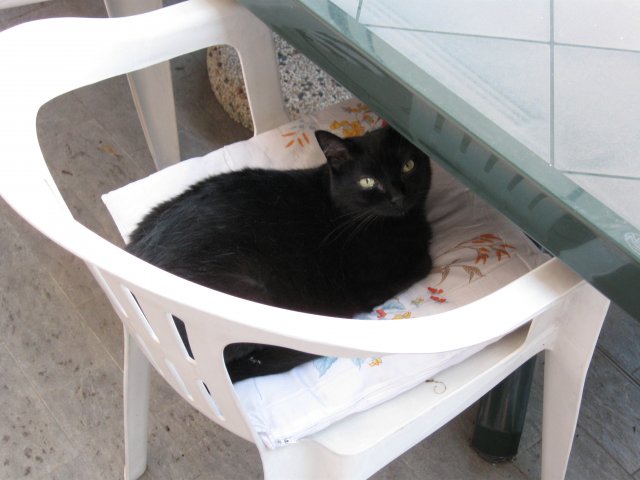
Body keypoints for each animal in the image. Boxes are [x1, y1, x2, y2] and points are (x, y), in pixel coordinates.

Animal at [127, 126, 433, 382]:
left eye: (408, 166)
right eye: (368, 181)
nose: (397, 198)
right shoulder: (368, 284)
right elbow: (424, 262)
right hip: (249, 295)